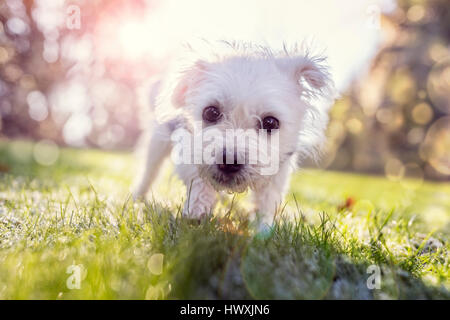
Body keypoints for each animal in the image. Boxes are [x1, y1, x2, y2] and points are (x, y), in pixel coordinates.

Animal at [132, 42, 332, 230]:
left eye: (270, 122)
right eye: (210, 112)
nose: (229, 161)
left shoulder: (278, 169)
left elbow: (267, 201)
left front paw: (263, 230)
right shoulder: (188, 149)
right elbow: (199, 181)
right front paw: (197, 213)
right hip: (158, 142)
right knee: (150, 171)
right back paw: (137, 197)